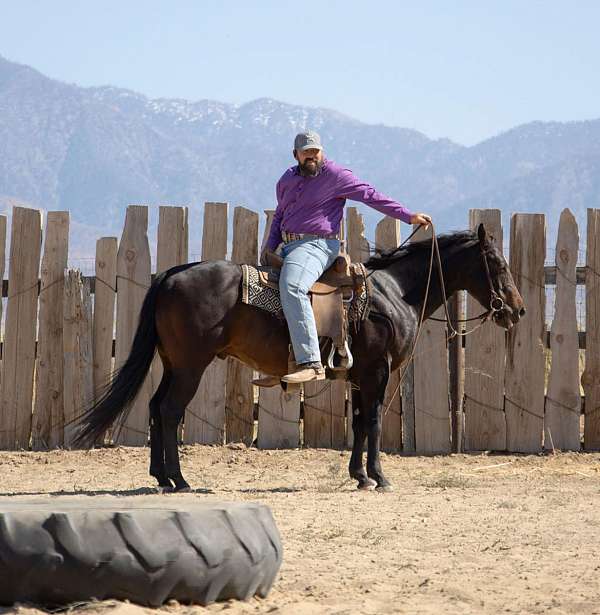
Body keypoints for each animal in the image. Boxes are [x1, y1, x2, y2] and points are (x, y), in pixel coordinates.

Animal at [76, 225, 524, 490]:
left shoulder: (359, 375)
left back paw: (161, 477)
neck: (394, 293)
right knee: (169, 411)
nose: (516, 309)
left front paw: (359, 476)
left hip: (173, 364)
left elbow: (358, 423)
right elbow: (374, 422)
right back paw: (179, 480)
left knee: (155, 407)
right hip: (190, 366)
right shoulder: (377, 372)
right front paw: (379, 477)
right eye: (497, 262)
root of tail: (171, 274)